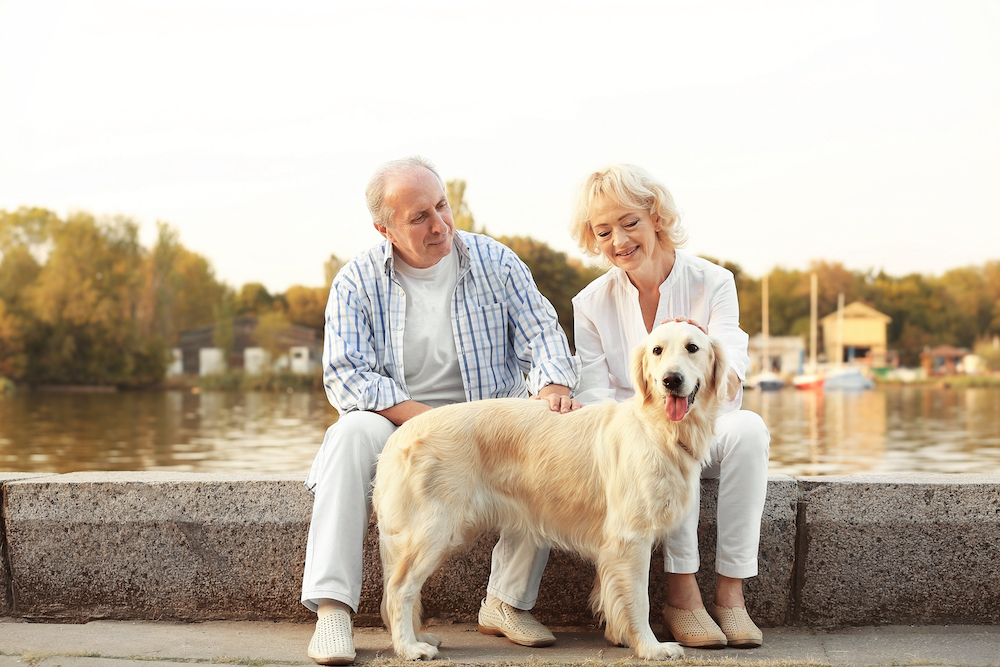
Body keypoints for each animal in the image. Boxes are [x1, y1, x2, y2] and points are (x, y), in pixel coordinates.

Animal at [372, 320, 732, 660]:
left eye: (692, 347)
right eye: (657, 350)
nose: (671, 380)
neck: (658, 427)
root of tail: (400, 436)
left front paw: (624, 638)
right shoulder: (630, 538)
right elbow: (638, 601)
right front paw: (650, 647)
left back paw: (419, 637)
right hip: (435, 529)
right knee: (400, 589)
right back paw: (410, 647)